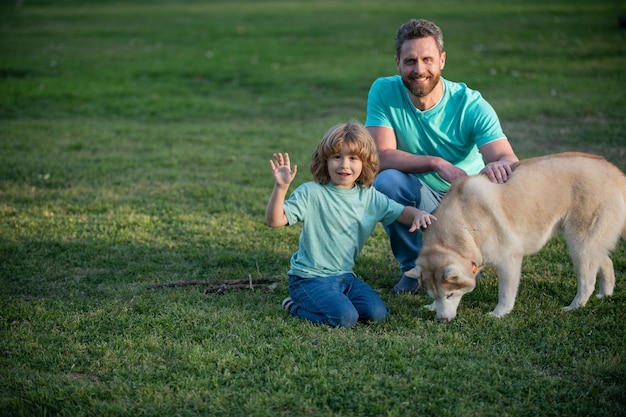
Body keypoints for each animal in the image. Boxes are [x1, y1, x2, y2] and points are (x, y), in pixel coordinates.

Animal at [404, 151, 624, 320]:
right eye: (436, 295)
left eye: (450, 294)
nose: (442, 320)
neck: (465, 225)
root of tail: (615, 171)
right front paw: (432, 306)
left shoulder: (509, 259)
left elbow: (505, 293)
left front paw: (499, 313)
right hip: (589, 242)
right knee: (606, 262)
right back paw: (605, 295)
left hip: (579, 243)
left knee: (587, 281)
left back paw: (574, 306)